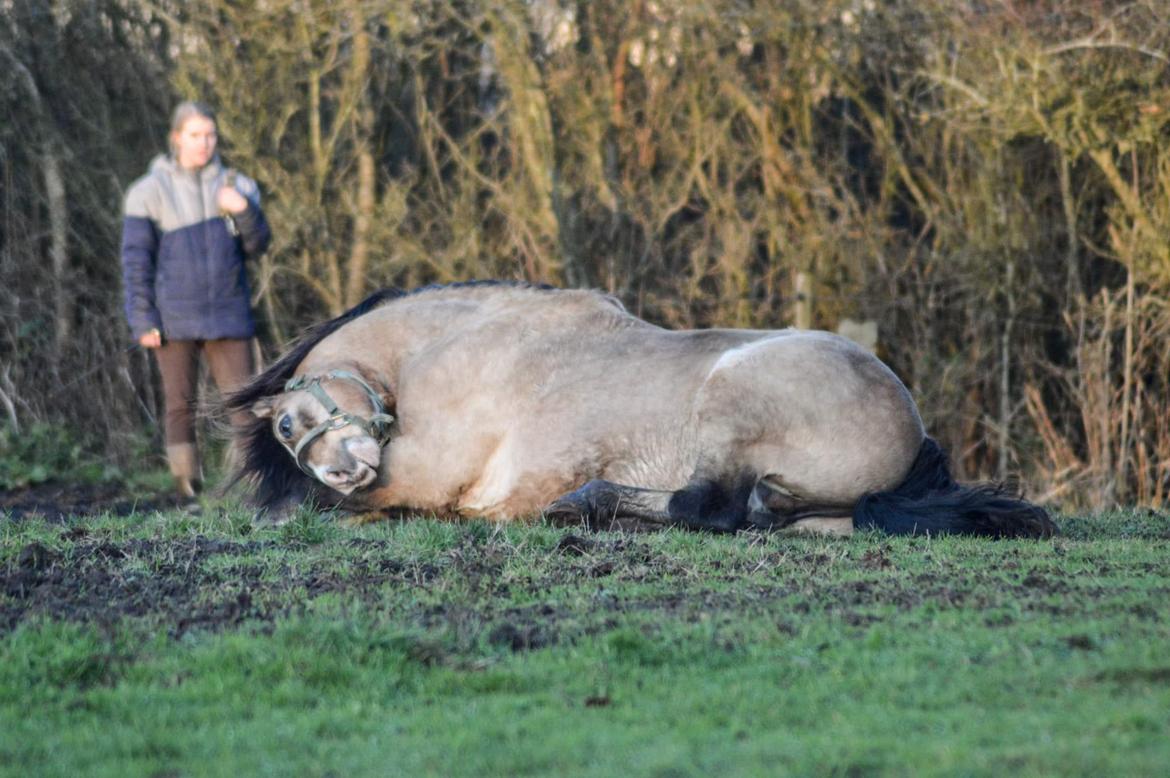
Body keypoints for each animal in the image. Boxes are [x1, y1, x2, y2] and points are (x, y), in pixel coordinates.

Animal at [223, 280, 1057, 540]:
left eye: (291, 425)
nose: (341, 471)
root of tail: (910, 432)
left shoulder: (424, 474)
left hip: (731, 402)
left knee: (707, 506)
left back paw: (585, 504)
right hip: (818, 507)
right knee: (758, 513)